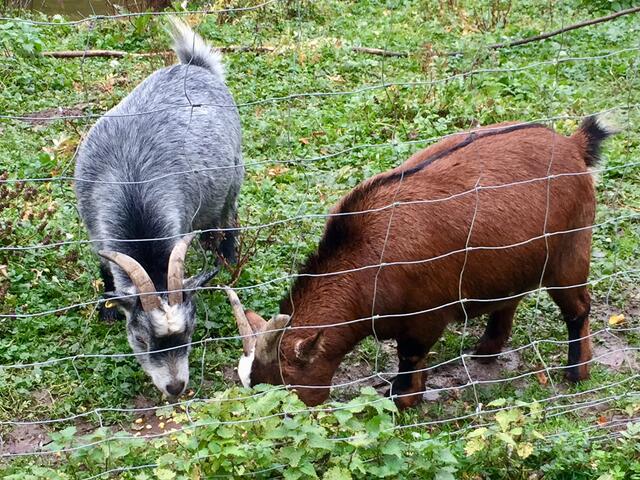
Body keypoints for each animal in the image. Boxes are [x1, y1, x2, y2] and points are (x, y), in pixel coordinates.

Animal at [74, 18, 243, 398]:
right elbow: (105, 268)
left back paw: (227, 256)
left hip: (235, 172)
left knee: (230, 216)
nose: (176, 387)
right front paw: (106, 308)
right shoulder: (94, 228)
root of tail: (194, 65)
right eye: (140, 339)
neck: (132, 192)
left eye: (190, 332)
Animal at [227, 116, 615, 409]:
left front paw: (402, 399)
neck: (366, 258)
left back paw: (576, 372)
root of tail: (572, 146)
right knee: (510, 299)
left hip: (569, 253)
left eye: (284, 393)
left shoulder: (426, 316)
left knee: (578, 310)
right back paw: (486, 351)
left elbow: (410, 357)